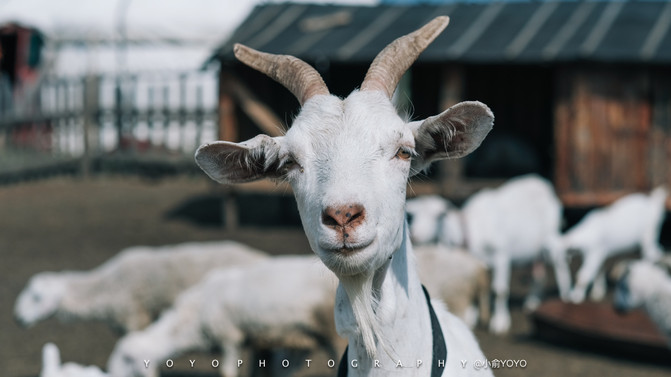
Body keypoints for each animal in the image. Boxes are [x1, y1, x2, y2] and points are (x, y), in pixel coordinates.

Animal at [404, 173, 568, 332]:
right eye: (414, 215)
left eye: (438, 215)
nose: (415, 234)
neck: (470, 230)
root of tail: (545, 185)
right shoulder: (477, 263)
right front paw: (474, 315)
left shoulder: (501, 256)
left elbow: (499, 290)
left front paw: (500, 322)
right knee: (538, 273)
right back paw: (532, 301)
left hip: (551, 236)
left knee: (559, 263)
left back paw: (565, 296)